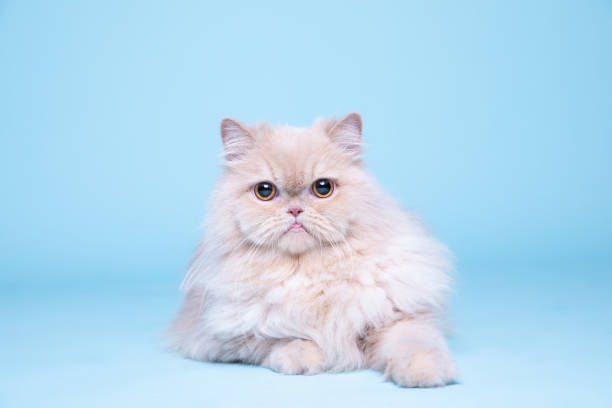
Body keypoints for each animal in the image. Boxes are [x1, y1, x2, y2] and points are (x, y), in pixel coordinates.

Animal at [170, 113, 456, 388]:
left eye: (323, 188)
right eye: (265, 191)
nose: (295, 210)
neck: (307, 272)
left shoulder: (400, 317)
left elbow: (413, 342)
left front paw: (425, 373)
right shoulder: (221, 336)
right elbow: (281, 337)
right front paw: (301, 358)